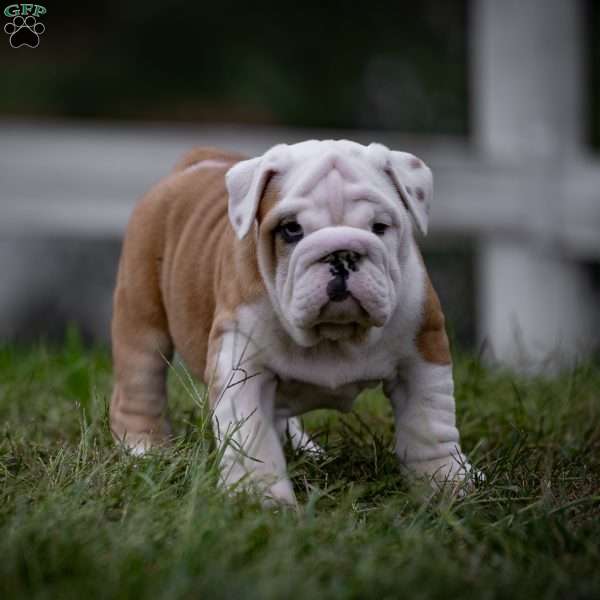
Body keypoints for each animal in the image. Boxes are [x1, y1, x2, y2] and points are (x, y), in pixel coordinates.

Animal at [109, 141, 474, 506]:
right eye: (291, 229)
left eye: (379, 227)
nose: (341, 254)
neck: (334, 334)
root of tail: (196, 162)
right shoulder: (242, 368)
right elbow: (251, 438)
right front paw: (258, 497)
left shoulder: (422, 350)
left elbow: (429, 423)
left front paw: (447, 482)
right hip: (141, 314)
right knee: (140, 384)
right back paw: (146, 449)